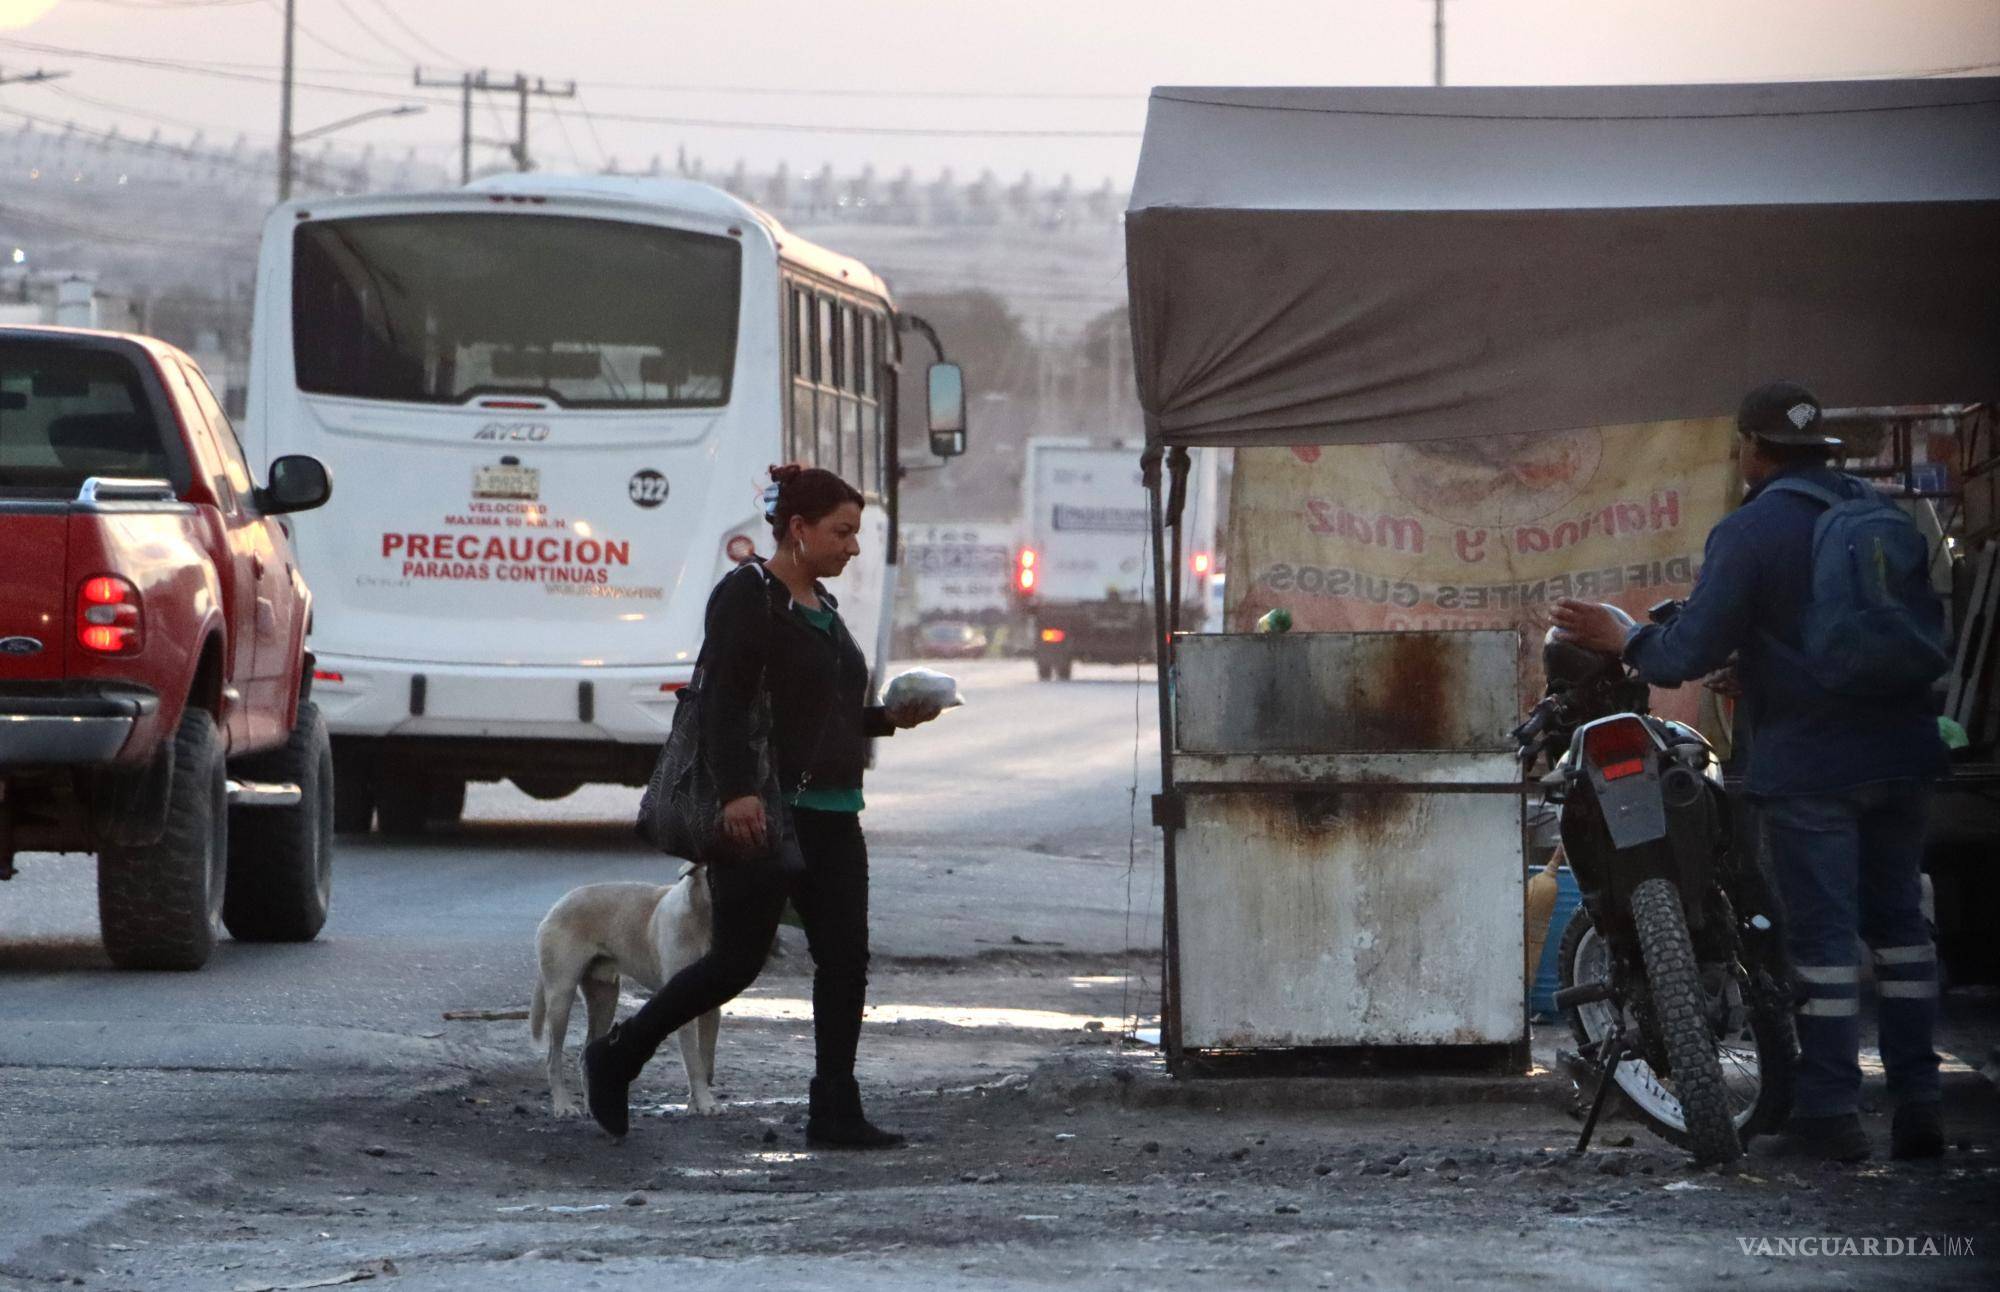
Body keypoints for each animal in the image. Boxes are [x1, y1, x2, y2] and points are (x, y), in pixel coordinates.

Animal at [532, 864, 720, 1120]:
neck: (702, 917)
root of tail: (557, 905)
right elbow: (694, 1063)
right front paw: (704, 1102)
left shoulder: (711, 1009)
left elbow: (706, 1061)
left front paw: (696, 1104)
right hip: (561, 996)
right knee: (553, 1059)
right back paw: (563, 1106)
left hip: (605, 998)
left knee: (585, 1055)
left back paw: (595, 1109)